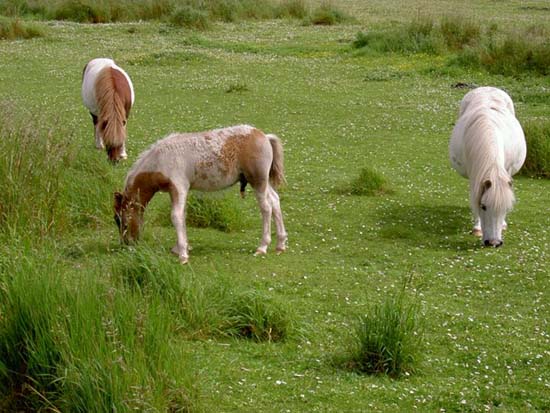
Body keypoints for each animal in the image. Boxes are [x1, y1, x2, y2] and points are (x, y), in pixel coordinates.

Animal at [115, 124, 292, 262]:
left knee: (266, 207)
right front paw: (181, 248)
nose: (126, 244)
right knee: (275, 201)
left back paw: (262, 246)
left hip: (258, 181)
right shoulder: (176, 191)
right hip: (263, 181)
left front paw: (183, 255)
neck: (160, 160)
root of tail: (264, 136)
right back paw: (280, 244)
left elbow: (176, 216)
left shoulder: (179, 187)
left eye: (121, 222)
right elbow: (182, 216)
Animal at [450, 87, 528, 246]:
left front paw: (503, 223)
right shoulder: (474, 175)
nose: (494, 243)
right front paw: (477, 228)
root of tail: (486, 88)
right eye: (484, 206)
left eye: (506, 208)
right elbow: (476, 195)